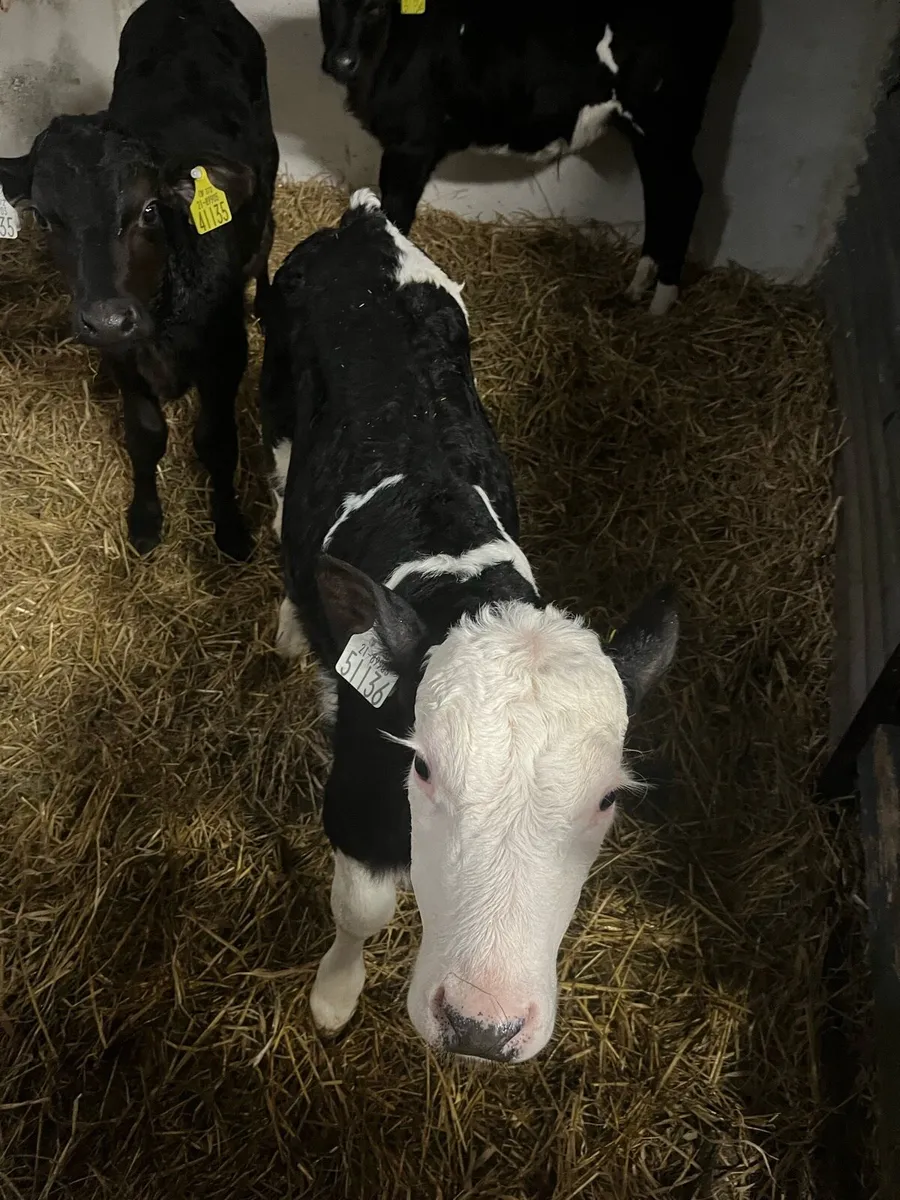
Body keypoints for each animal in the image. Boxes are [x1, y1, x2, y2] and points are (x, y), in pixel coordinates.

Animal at [0, 0, 279, 559]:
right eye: (43, 218)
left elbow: (216, 441)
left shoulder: (226, 354)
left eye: (149, 209)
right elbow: (145, 435)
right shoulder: (122, 356)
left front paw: (230, 528)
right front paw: (146, 520)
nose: (108, 318)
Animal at [260, 188, 679, 1063]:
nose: (483, 1026)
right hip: (273, 405)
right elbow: (360, 908)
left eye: (607, 800)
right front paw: (334, 996)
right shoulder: (358, 783)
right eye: (423, 768)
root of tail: (361, 221)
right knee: (278, 502)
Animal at [318, 0, 734, 316]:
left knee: (686, 190)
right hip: (648, 130)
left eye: (375, 6)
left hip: (665, 118)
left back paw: (660, 304)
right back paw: (638, 286)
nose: (341, 62)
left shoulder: (411, 144)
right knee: (661, 190)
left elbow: (397, 216)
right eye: (326, 1)